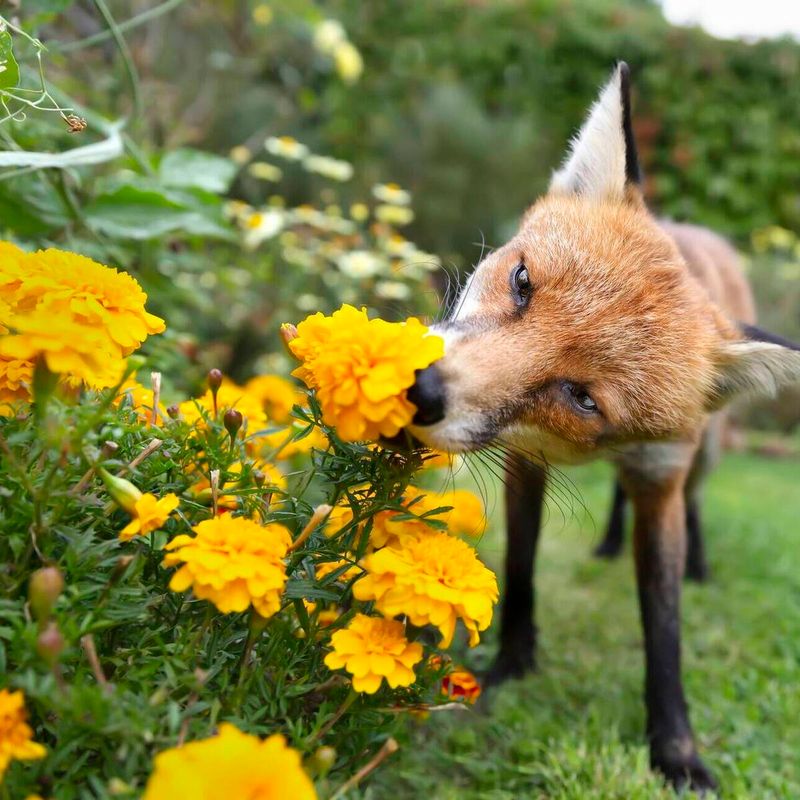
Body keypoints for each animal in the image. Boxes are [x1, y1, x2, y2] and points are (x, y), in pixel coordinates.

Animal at [406, 64, 800, 792]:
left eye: (583, 398)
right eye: (522, 281)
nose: (421, 390)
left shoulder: (662, 482)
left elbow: (664, 628)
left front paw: (676, 751)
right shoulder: (525, 464)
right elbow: (521, 569)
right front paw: (511, 667)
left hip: (706, 456)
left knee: (695, 503)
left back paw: (698, 563)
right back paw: (610, 542)